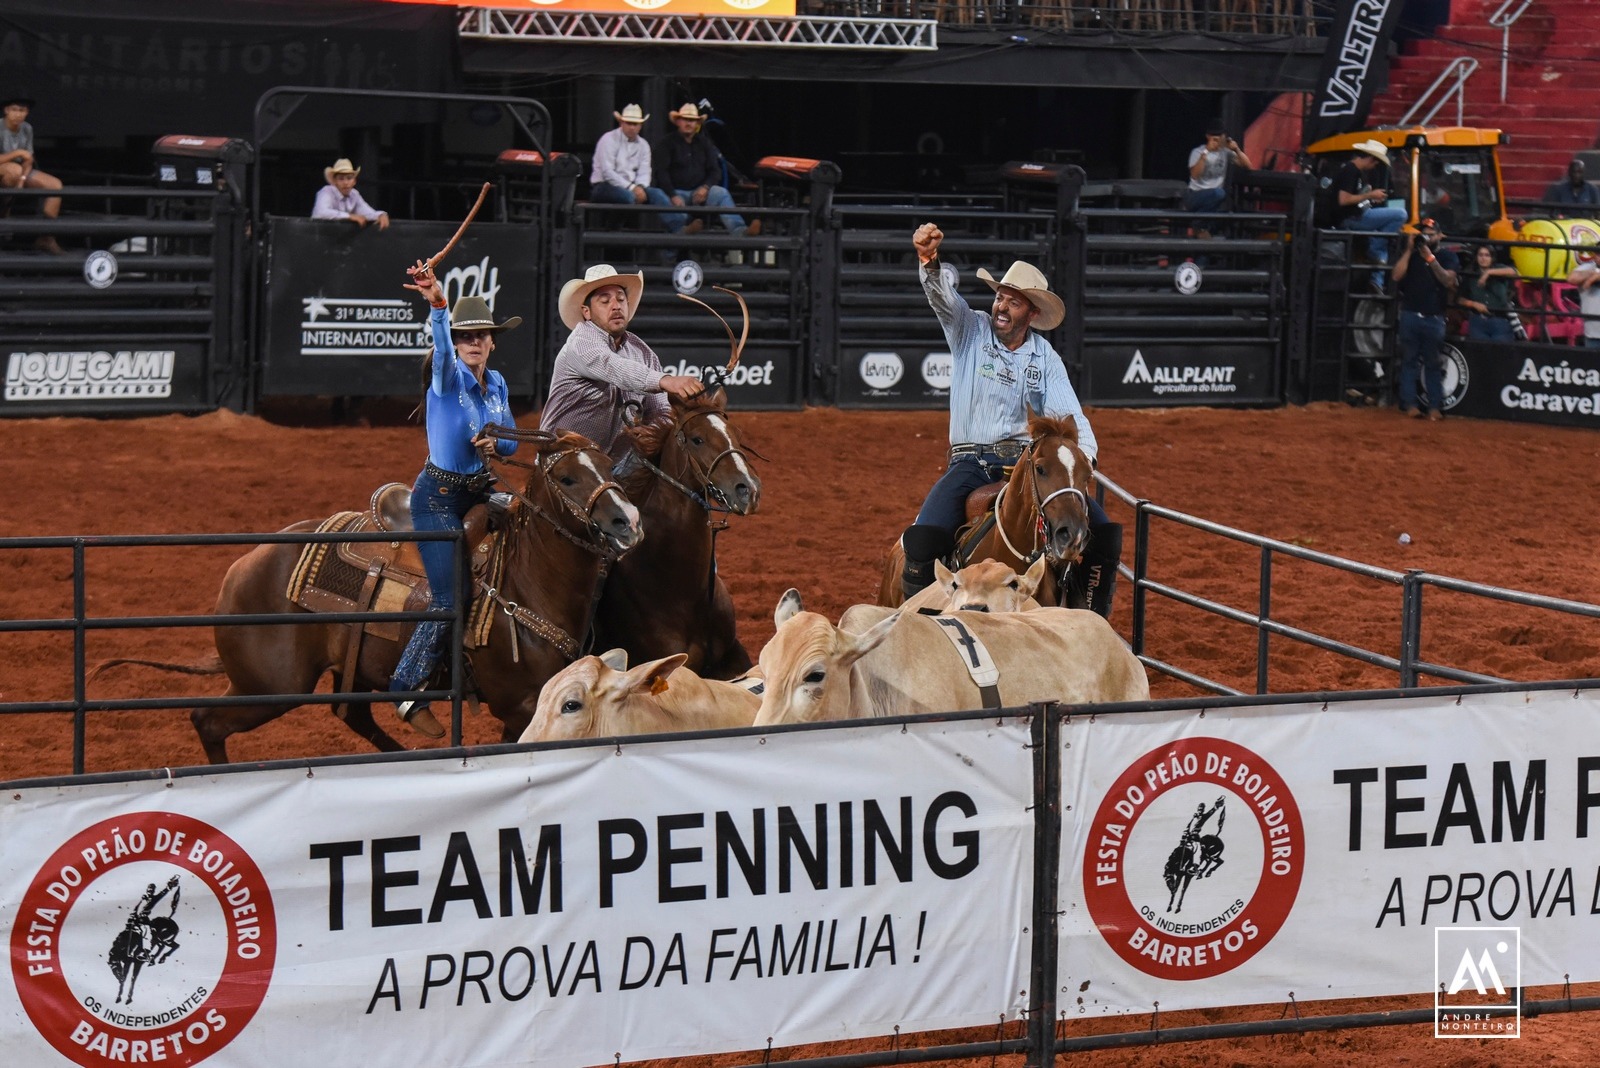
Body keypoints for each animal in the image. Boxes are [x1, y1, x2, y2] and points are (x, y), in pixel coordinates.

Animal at [95, 428, 636, 764]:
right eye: (567, 477)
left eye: (611, 466)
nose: (626, 520)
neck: (525, 583)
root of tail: (241, 570)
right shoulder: (520, 705)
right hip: (271, 684)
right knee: (206, 720)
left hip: (340, 673)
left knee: (350, 714)